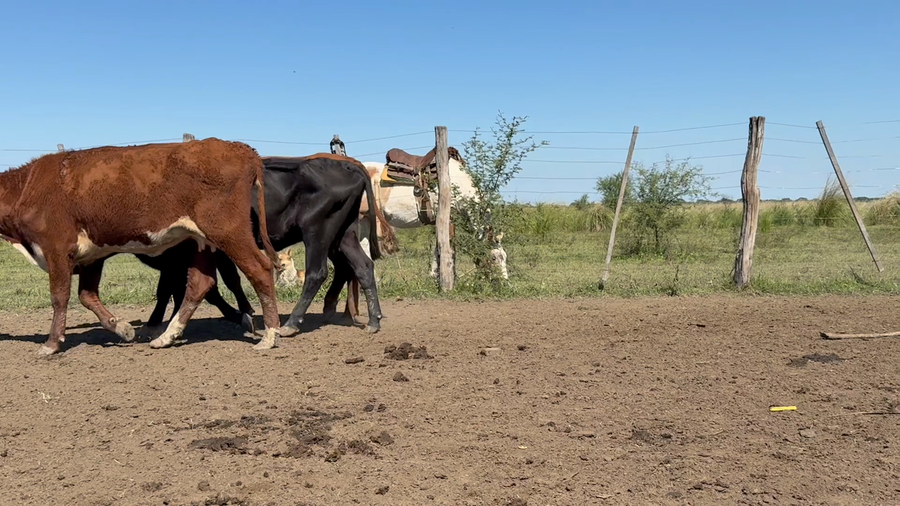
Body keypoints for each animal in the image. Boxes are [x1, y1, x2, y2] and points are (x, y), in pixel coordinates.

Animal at [0, 138, 283, 355]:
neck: (26, 186)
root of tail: (238, 147)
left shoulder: (57, 249)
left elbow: (60, 297)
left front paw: (51, 344)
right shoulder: (91, 255)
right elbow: (87, 296)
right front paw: (122, 328)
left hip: (228, 231)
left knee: (258, 269)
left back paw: (269, 335)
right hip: (202, 241)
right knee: (200, 284)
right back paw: (167, 336)